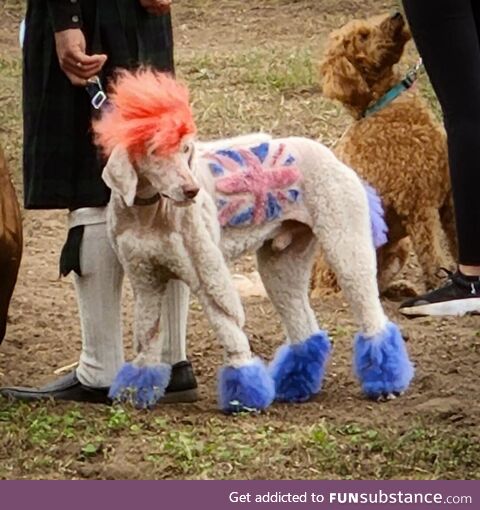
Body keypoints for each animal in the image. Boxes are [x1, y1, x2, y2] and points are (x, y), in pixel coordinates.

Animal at [310, 10, 456, 298]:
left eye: (368, 25)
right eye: (363, 36)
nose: (398, 14)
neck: (386, 105)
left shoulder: (448, 198)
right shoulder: (419, 205)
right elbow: (432, 255)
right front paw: (440, 285)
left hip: (398, 248)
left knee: (377, 284)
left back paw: (401, 288)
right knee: (328, 288)